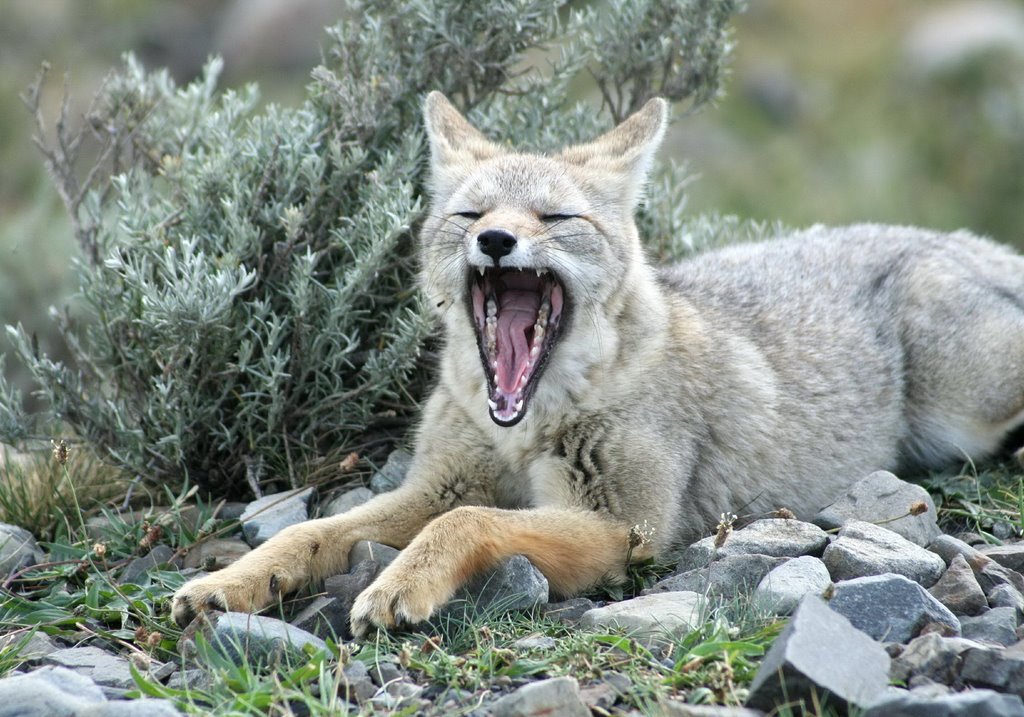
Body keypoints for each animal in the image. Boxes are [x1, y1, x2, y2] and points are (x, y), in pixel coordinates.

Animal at [174, 92, 1024, 635]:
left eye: (555, 217)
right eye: (470, 213)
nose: (496, 241)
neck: (522, 423)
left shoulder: (626, 523)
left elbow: (467, 520)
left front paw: (402, 581)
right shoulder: (435, 483)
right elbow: (313, 531)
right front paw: (231, 582)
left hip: (961, 405)